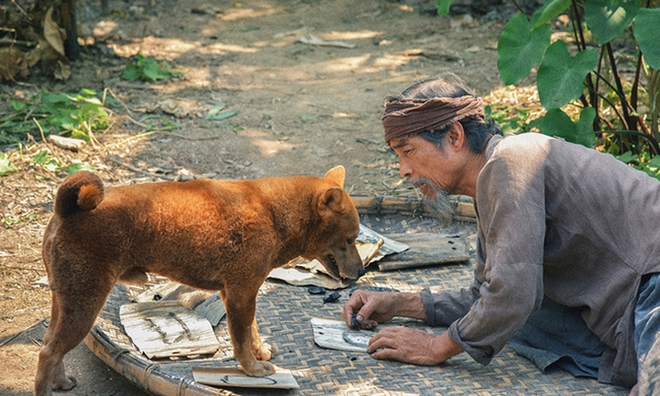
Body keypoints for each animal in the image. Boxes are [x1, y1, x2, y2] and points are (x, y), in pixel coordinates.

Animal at [36, 166, 364, 394]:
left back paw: (61, 382)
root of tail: (66, 210)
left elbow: (252, 330)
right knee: (47, 353)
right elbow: (240, 341)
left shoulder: (239, 292)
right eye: (350, 239)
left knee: (50, 345)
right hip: (85, 304)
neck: (274, 213)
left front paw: (259, 352)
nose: (362, 272)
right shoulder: (240, 293)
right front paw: (254, 369)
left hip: (64, 301)